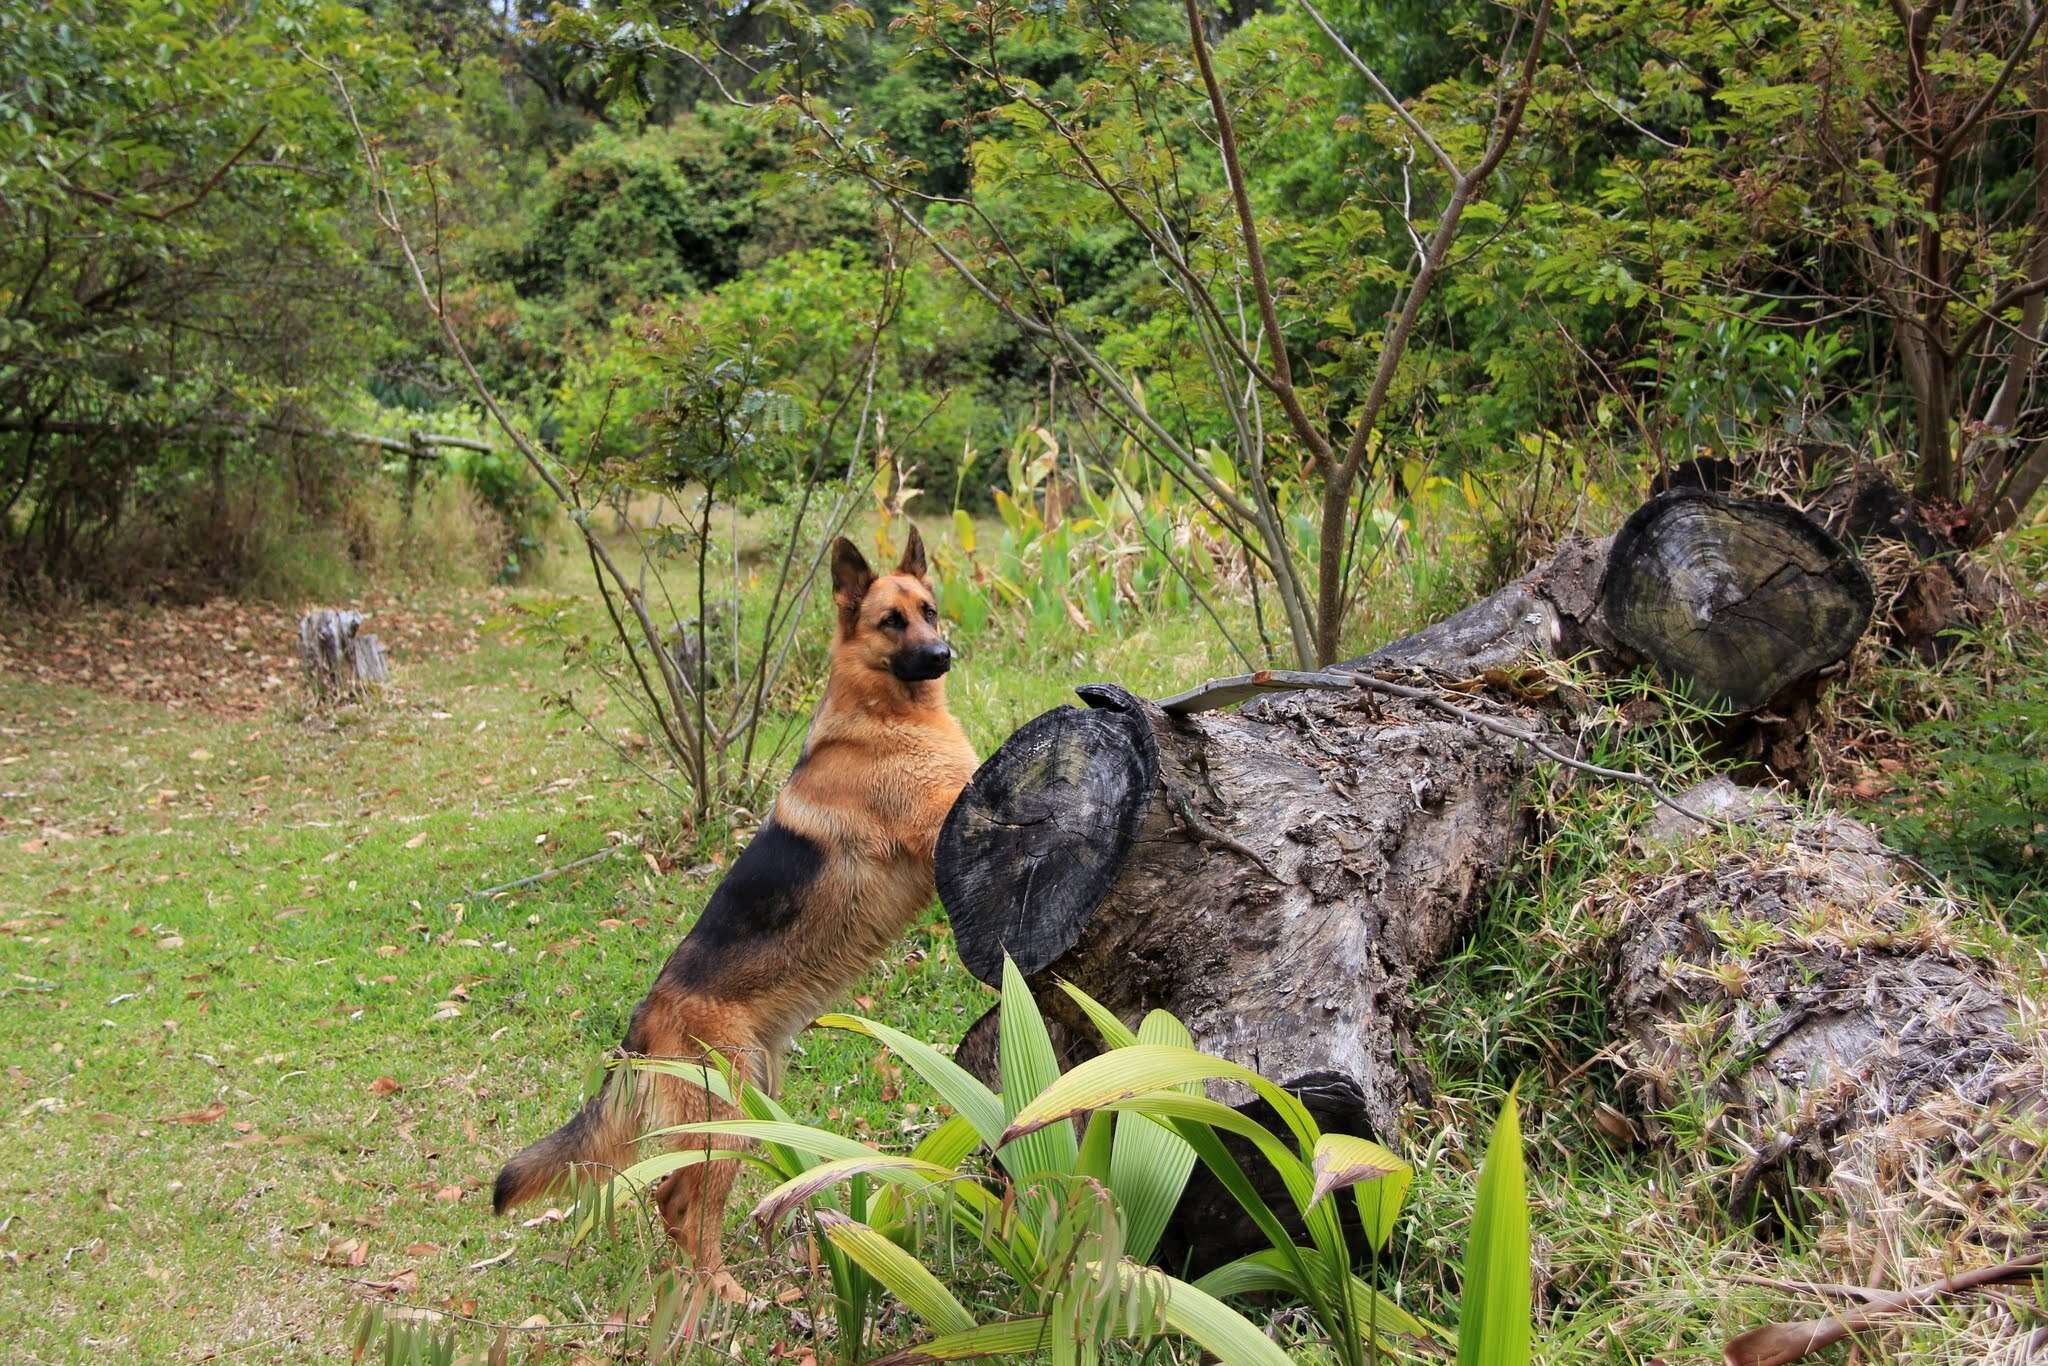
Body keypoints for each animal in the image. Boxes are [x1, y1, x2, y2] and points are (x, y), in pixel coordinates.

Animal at [493, 528, 974, 1302]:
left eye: (929, 611)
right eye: (890, 622)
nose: (941, 655)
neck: (888, 712)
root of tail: (642, 1024)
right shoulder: (937, 824)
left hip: (752, 1107)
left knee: (670, 1196)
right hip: (735, 1117)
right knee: (689, 1205)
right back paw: (721, 1291)